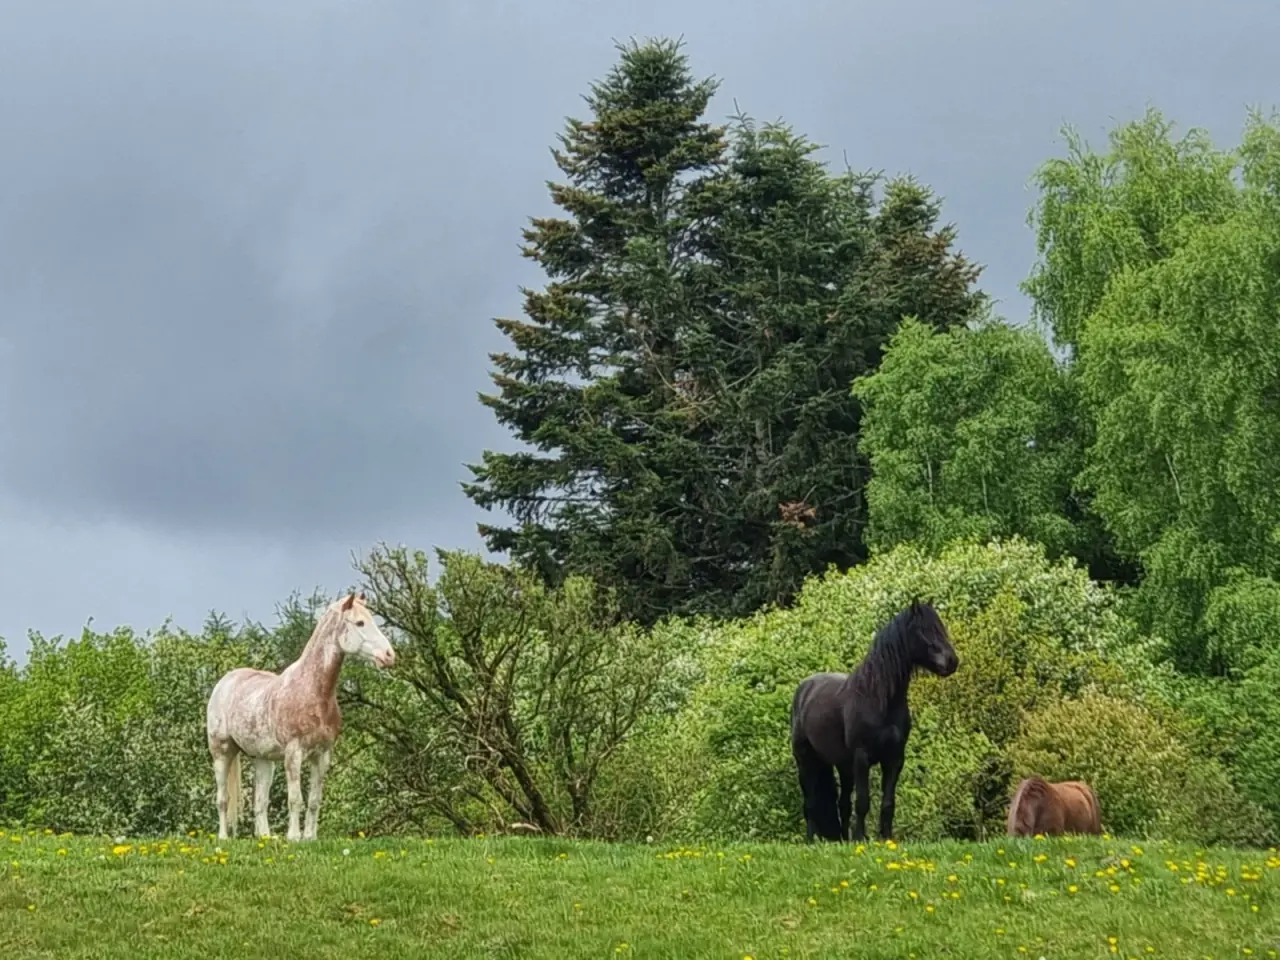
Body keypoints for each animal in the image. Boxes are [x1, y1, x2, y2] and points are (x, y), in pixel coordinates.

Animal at [205, 591, 395, 842]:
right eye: (360, 623)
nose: (389, 655)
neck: (312, 691)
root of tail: (225, 682)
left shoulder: (322, 755)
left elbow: (314, 801)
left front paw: (310, 837)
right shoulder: (294, 754)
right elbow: (295, 799)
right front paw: (294, 837)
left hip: (263, 760)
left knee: (260, 803)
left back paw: (265, 838)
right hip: (222, 752)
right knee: (223, 799)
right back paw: (223, 837)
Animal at [790, 600, 959, 843]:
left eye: (940, 627)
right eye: (923, 630)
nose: (952, 661)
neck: (879, 698)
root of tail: (805, 688)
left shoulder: (894, 759)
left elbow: (888, 803)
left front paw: (885, 838)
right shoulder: (862, 758)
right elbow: (863, 802)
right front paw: (861, 838)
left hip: (843, 766)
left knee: (842, 804)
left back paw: (843, 839)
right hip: (806, 761)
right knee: (811, 803)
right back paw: (812, 840)